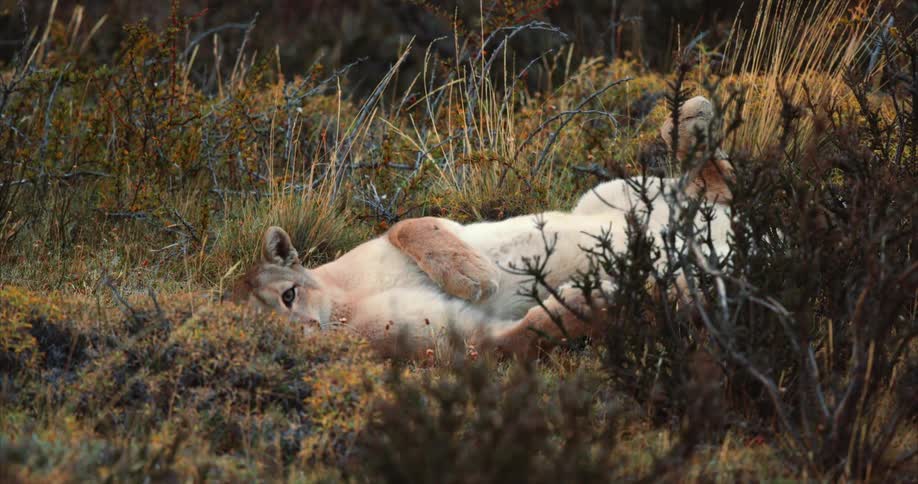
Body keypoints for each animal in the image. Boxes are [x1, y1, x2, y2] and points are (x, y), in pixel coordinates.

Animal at [229, 96, 733, 360]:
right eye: (266, 335)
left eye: (288, 295)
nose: (305, 334)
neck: (345, 302)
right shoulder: (457, 341)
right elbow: (524, 336)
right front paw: (597, 301)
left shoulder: (424, 230)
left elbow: (407, 224)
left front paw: (472, 274)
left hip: (610, 191)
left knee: (716, 185)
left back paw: (691, 120)